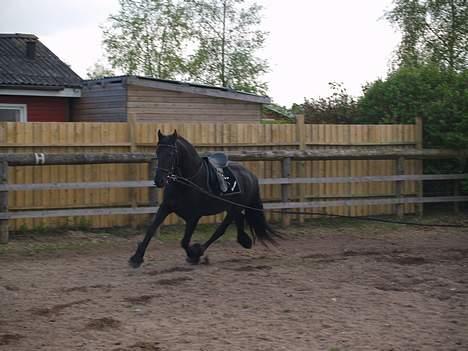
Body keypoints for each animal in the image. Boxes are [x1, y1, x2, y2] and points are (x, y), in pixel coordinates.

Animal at [128, 131, 276, 268]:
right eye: (158, 152)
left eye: (171, 154)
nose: (159, 180)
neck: (187, 182)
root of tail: (251, 175)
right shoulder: (166, 207)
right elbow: (151, 229)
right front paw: (136, 258)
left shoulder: (194, 217)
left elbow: (184, 241)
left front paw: (193, 254)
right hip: (232, 207)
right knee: (239, 220)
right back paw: (244, 240)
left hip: (235, 208)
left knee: (220, 230)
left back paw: (201, 250)